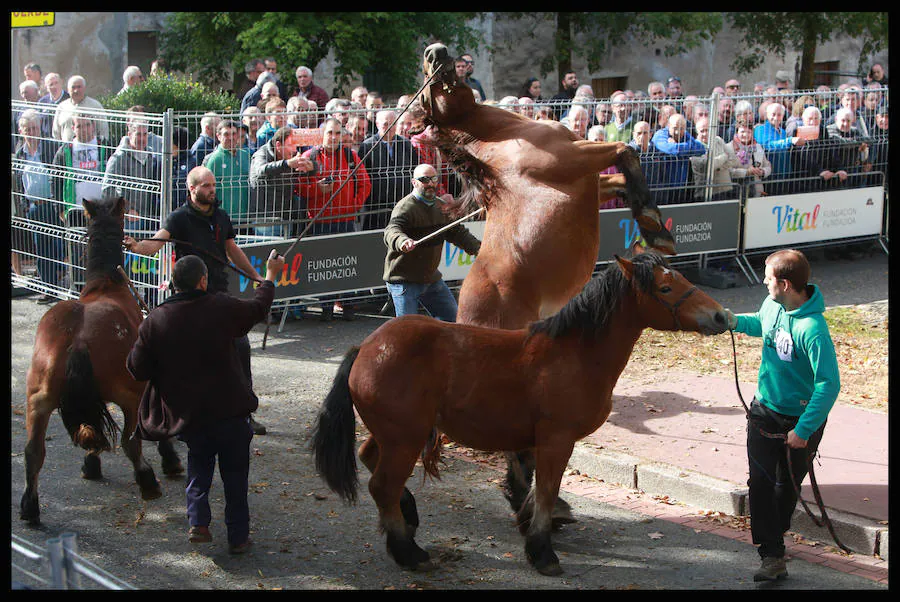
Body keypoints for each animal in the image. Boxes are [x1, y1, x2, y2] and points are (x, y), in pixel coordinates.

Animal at [19, 195, 181, 524]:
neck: (107, 284)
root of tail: (78, 338)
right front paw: (170, 460)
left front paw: (90, 465)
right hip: (130, 395)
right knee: (130, 442)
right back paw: (147, 480)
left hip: (38, 401)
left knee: (33, 452)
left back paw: (30, 507)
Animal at [312, 250, 728, 576]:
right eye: (665, 289)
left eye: (680, 277)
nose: (721, 317)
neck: (575, 353)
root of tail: (366, 348)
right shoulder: (557, 439)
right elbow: (545, 490)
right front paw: (542, 552)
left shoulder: (533, 441)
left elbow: (529, 485)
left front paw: (533, 523)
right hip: (405, 439)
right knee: (382, 485)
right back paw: (409, 552)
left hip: (397, 434)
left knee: (370, 460)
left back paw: (409, 516)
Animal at [414, 43, 676, 520]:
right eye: (424, 84)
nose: (435, 51)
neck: (507, 142)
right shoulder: (579, 159)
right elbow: (627, 148)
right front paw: (653, 225)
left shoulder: (589, 181)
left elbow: (620, 177)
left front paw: (649, 219)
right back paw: (536, 502)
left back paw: (537, 501)